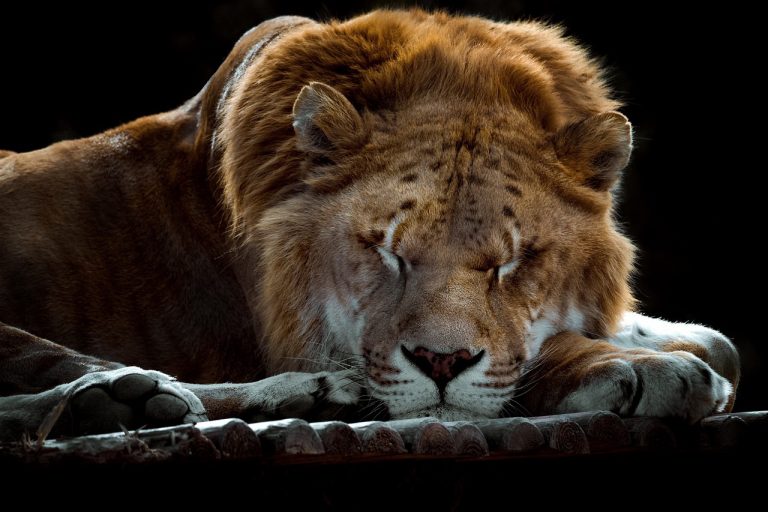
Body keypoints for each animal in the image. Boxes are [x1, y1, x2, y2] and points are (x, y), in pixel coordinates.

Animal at [0, 10, 739, 440]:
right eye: (387, 253)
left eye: (511, 262)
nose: (440, 363)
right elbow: (541, 354)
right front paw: (649, 368)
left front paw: (675, 343)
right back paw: (138, 401)